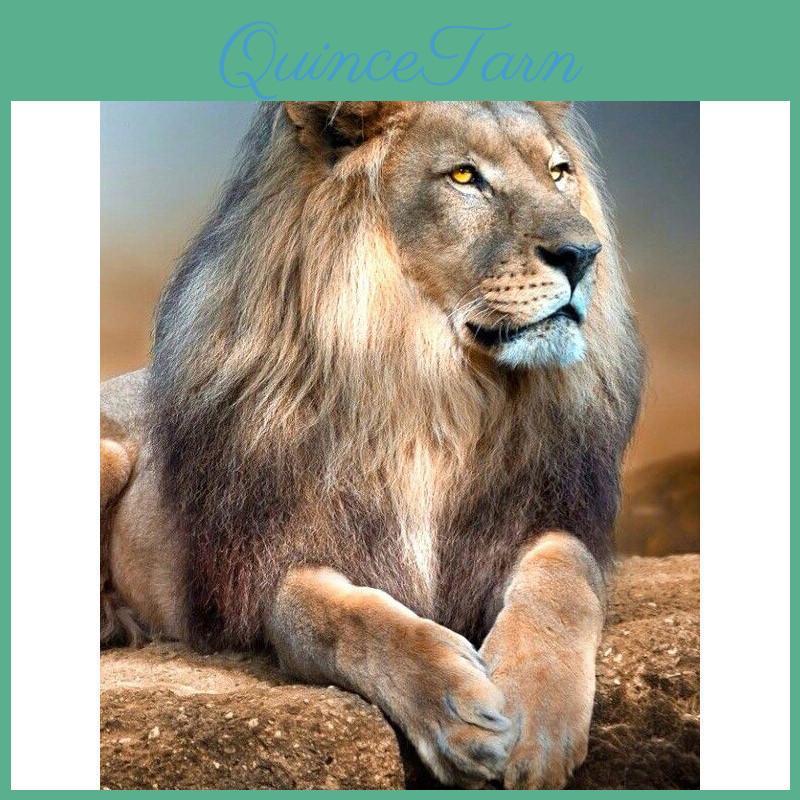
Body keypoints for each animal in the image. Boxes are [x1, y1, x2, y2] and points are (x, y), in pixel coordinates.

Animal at [100, 101, 644, 789]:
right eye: (464, 176)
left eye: (559, 172)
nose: (583, 254)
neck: (435, 394)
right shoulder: (276, 559)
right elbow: (342, 618)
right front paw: (457, 710)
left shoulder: (541, 519)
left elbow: (563, 578)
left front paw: (536, 717)